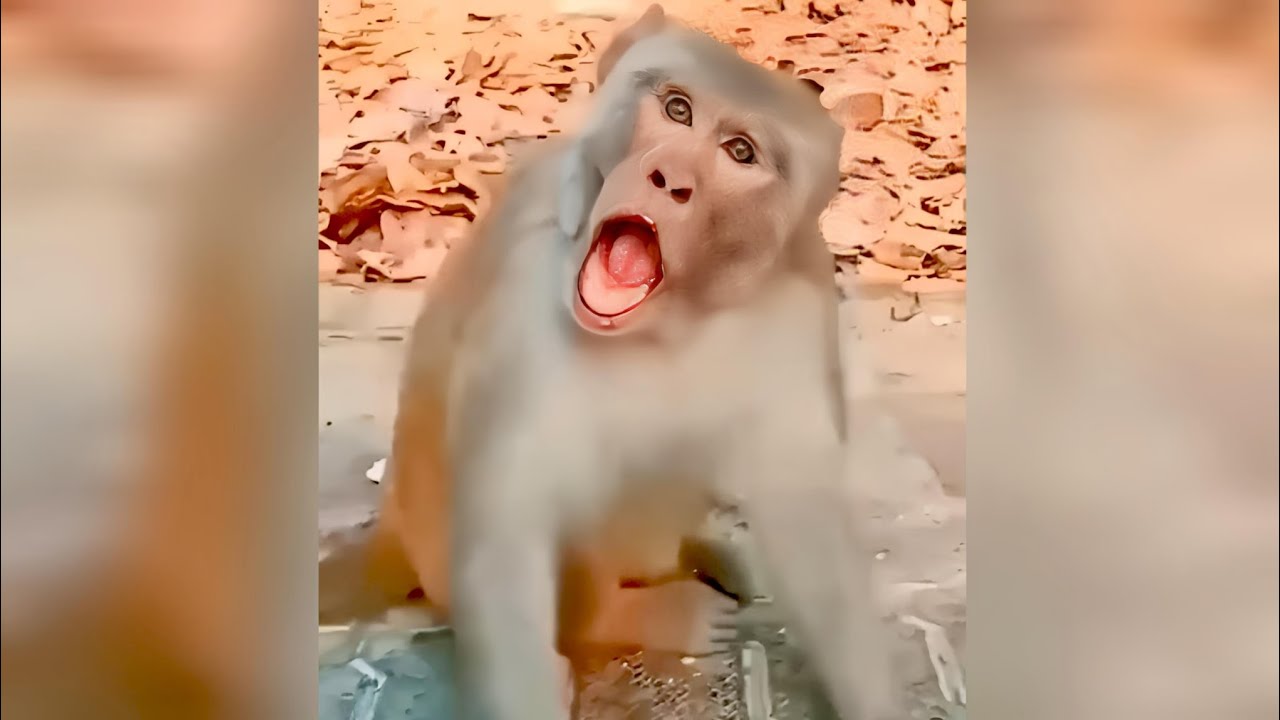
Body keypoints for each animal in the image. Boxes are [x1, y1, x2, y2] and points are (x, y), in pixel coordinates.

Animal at [365, 6, 895, 719]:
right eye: (676, 110)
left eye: (740, 152)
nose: (669, 180)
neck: (667, 321)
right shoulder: (523, 293)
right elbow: (508, 535)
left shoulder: (800, 306)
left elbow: (812, 532)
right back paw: (636, 616)